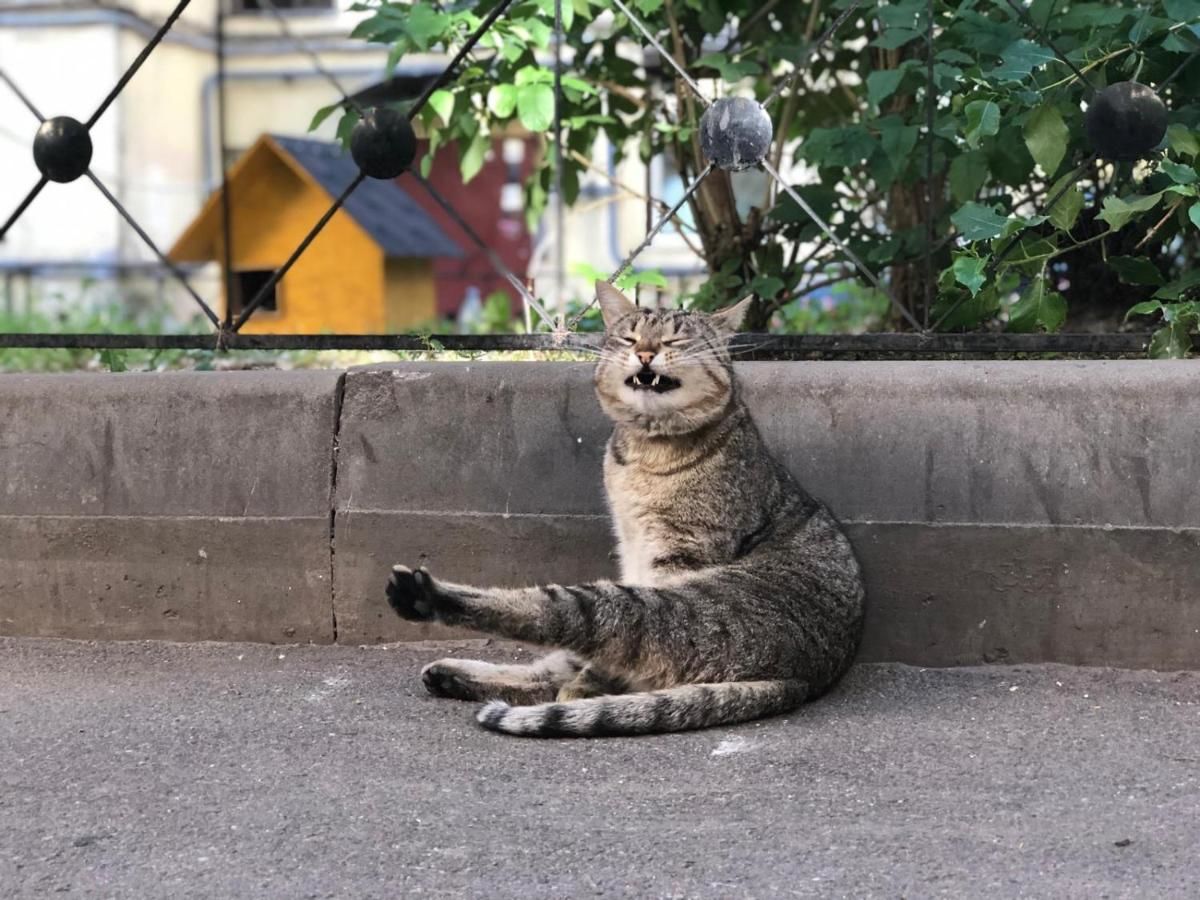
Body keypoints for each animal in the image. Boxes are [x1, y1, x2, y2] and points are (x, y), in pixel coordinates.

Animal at [388, 283, 868, 739]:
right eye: (630, 336)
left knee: (568, 621)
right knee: (557, 665)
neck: (645, 449)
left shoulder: (680, 552)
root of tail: (802, 678)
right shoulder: (630, 547)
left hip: (666, 606)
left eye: (676, 338)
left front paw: (589, 687)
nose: (645, 353)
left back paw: (426, 597)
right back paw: (451, 673)